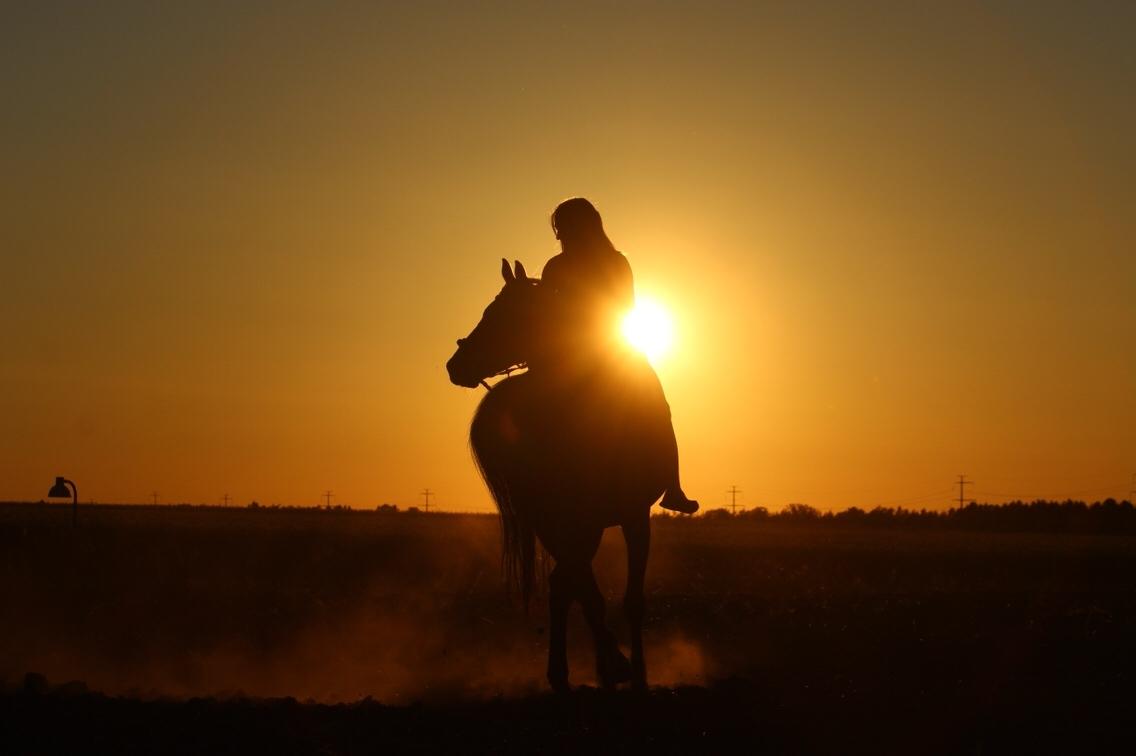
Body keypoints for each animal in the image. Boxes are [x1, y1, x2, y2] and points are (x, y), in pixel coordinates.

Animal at [443, 258, 672, 691]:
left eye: (501, 314)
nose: (454, 366)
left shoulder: (633, 515)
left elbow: (629, 599)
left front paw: (634, 672)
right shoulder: (563, 521)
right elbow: (587, 594)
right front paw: (618, 666)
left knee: (565, 585)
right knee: (566, 586)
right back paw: (573, 669)